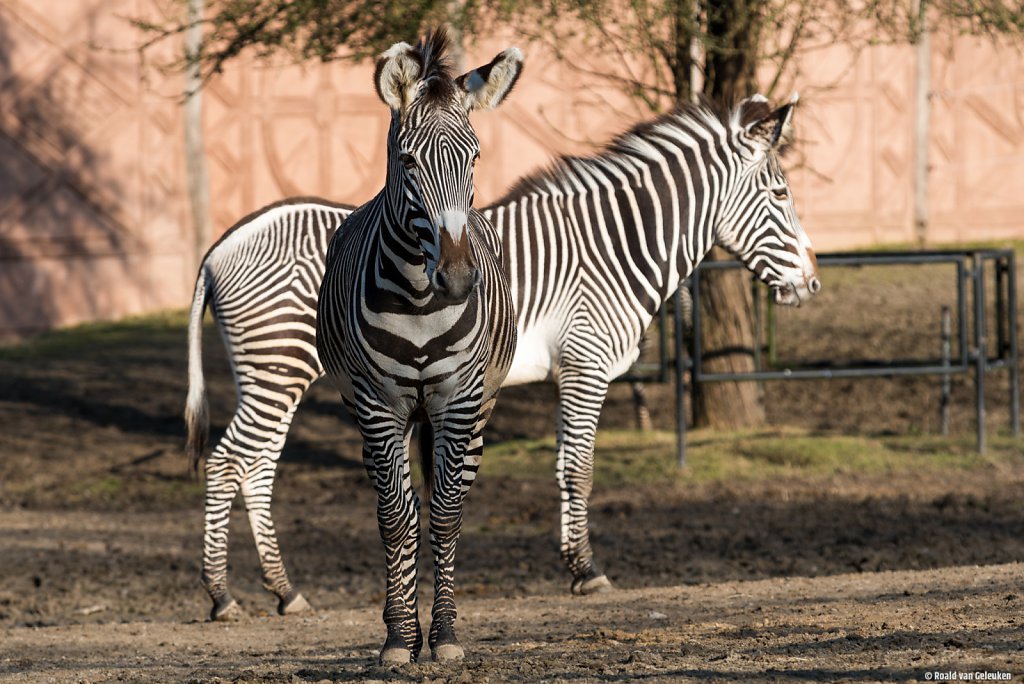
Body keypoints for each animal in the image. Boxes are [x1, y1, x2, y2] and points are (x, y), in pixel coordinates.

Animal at [186, 90, 823, 618]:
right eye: (781, 193)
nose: (812, 285)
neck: (613, 245)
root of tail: (220, 245)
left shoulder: (567, 371)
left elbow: (563, 466)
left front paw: (572, 565)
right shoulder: (587, 363)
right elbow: (580, 469)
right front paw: (588, 571)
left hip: (271, 372)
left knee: (256, 467)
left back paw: (284, 591)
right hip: (281, 365)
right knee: (228, 463)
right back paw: (222, 597)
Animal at [313, 33, 520, 663]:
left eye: (473, 159)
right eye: (408, 162)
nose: (456, 280)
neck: (419, 300)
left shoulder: (459, 399)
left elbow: (446, 513)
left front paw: (445, 635)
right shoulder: (379, 404)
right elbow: (396, 517)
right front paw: (401, 638)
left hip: (480, 410)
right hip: (375, 415)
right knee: (396, 505)